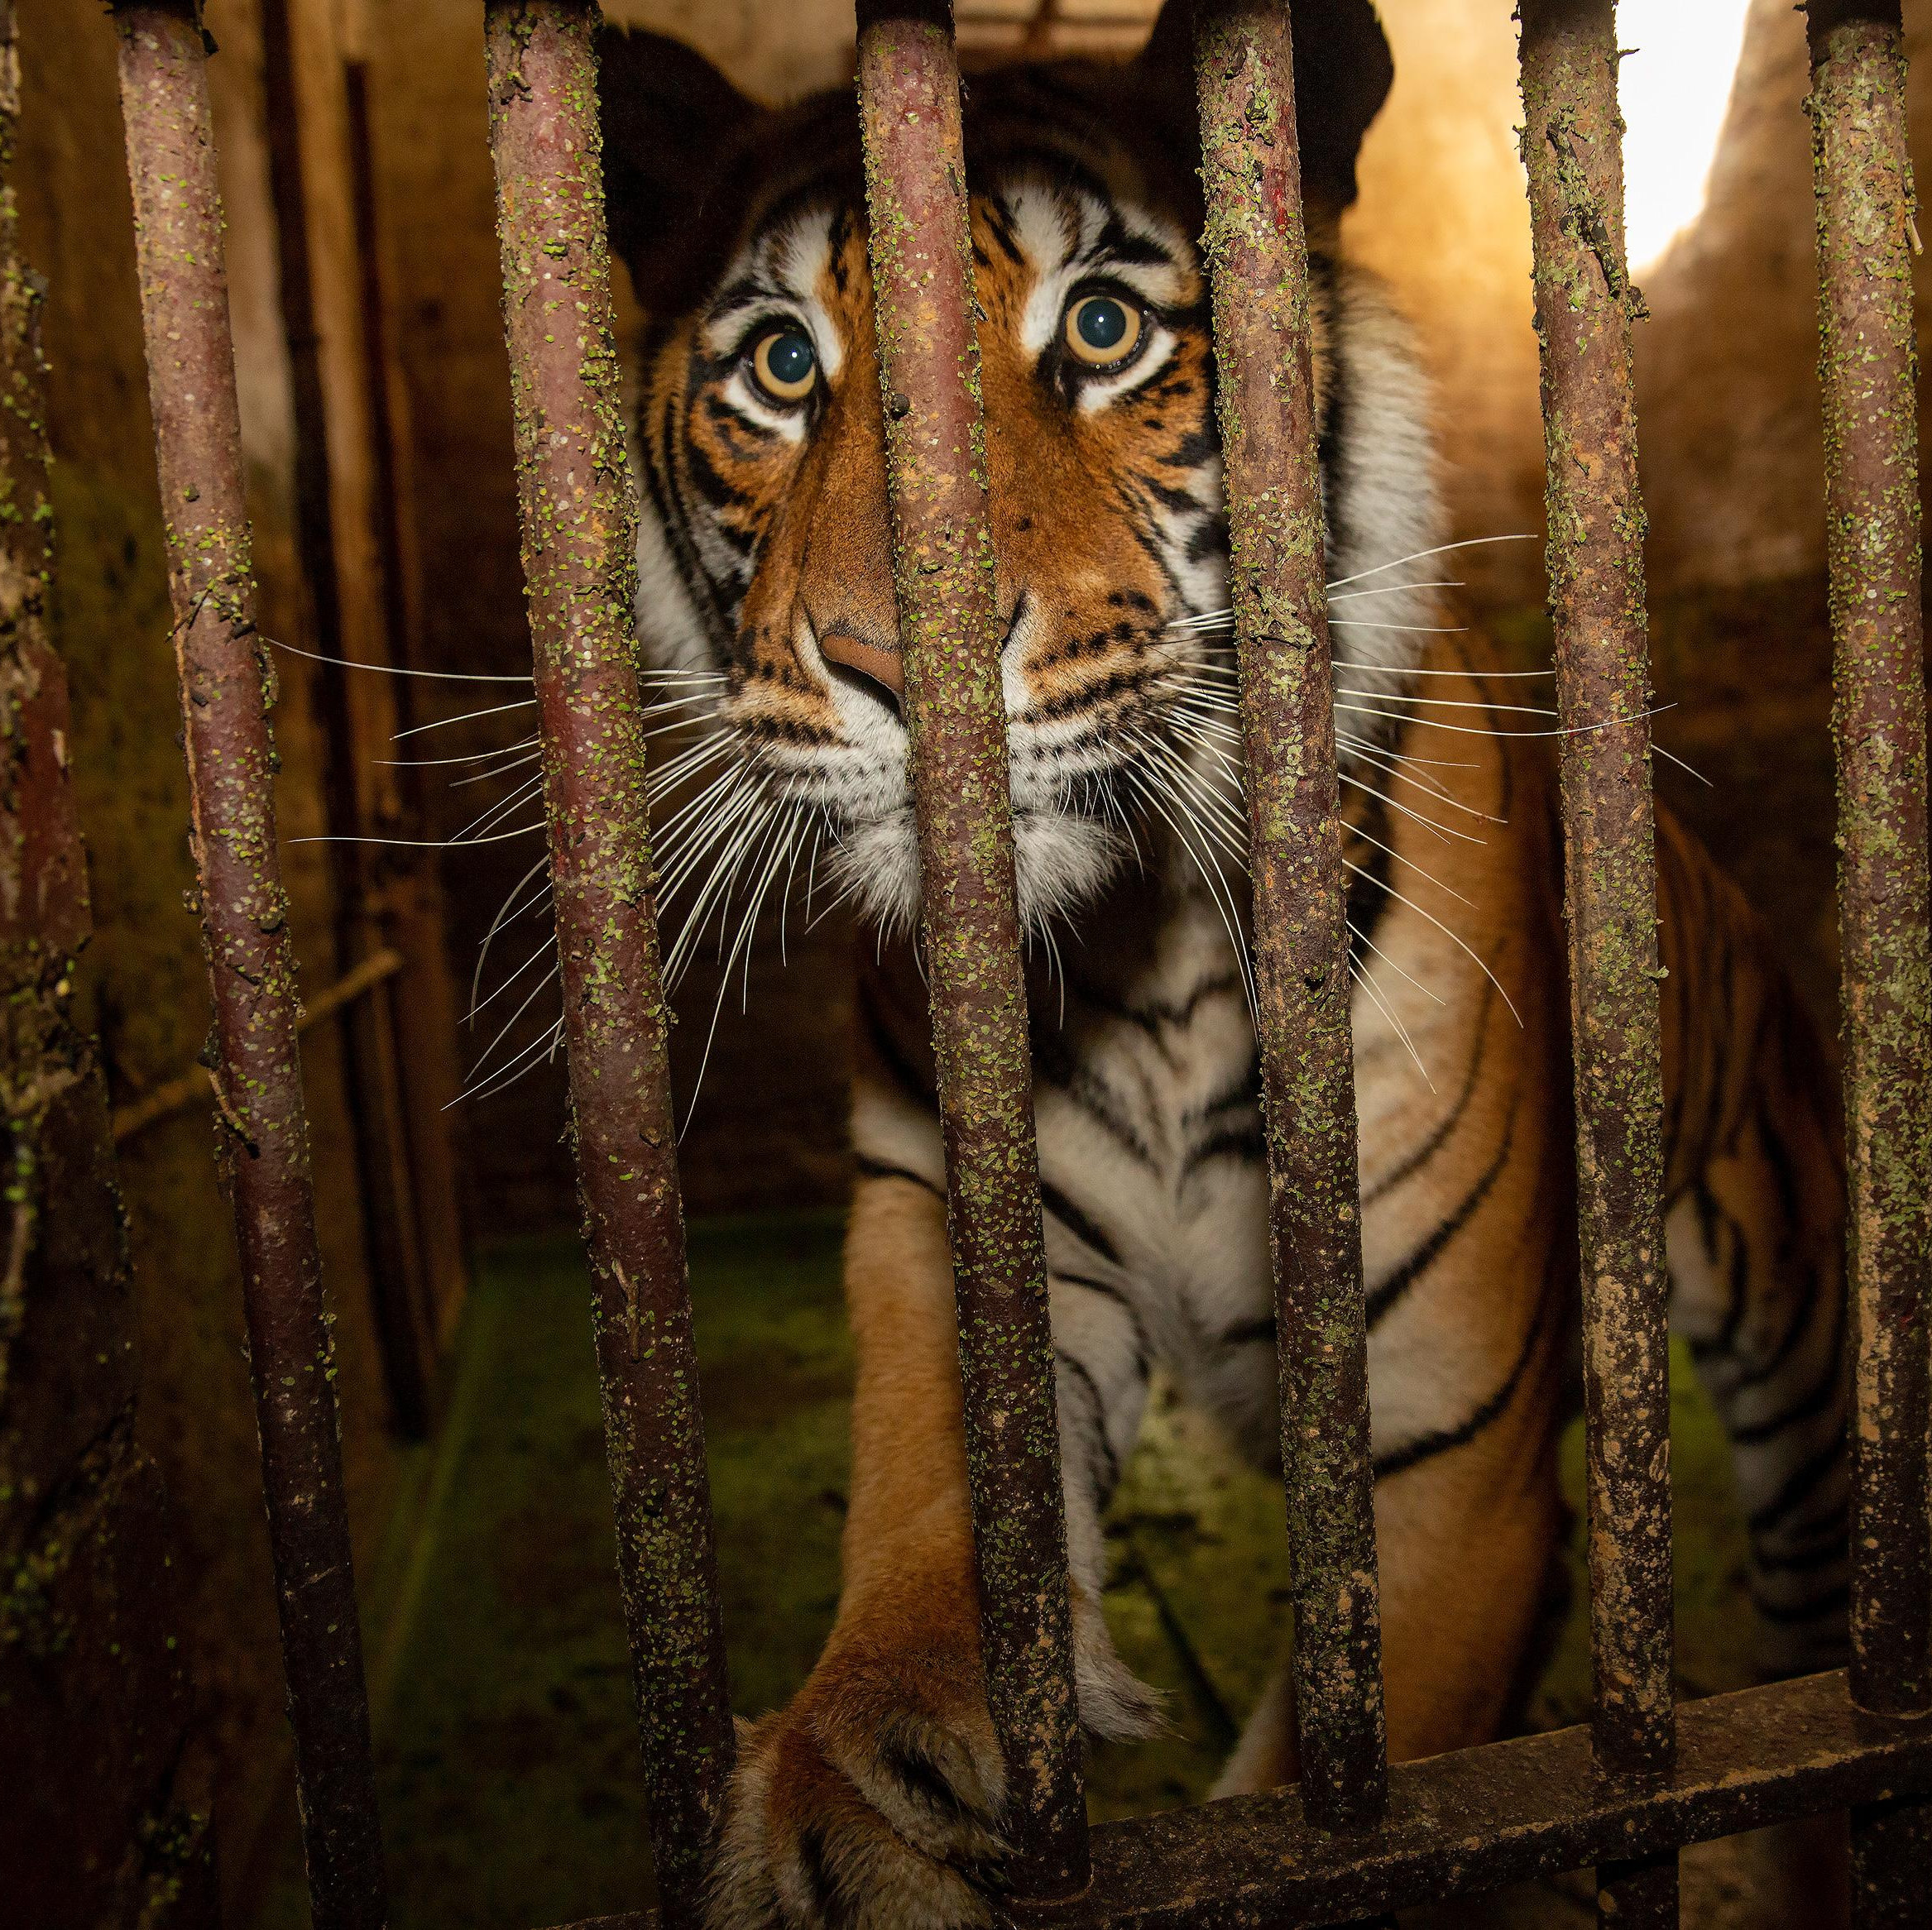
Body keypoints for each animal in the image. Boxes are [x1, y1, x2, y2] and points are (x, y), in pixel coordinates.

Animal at [592, 3, 1852, 1923]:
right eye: (784, 366)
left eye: (1105, 330)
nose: (900, 657)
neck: (1143, 954)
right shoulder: (962, 1240)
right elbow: (931, 1549)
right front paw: (851, 1806)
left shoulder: (1460, 1485)